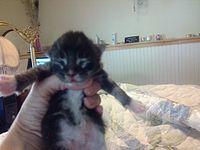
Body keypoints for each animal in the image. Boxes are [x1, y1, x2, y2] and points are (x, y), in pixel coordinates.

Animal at [14, 31, 143, 149]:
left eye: (82, 60)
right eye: (61, 61)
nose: (71, 73)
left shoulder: (99, 75)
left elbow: (116, 89)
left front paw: (134, 105)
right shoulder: (48, 69)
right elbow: (33, 71)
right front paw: (12, 83)